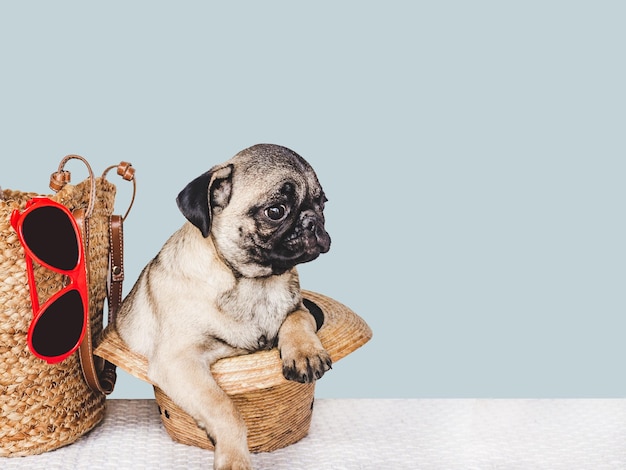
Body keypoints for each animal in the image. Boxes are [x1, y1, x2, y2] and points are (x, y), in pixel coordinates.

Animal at [116, 144, 332, 470]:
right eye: (276, 211)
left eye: (322, 205)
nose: (312, 220)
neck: (256, 284)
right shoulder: (180, 360)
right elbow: (224, 408)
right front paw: (234, 458)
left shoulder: (301, 308)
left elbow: (296, 319)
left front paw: (305, 353)